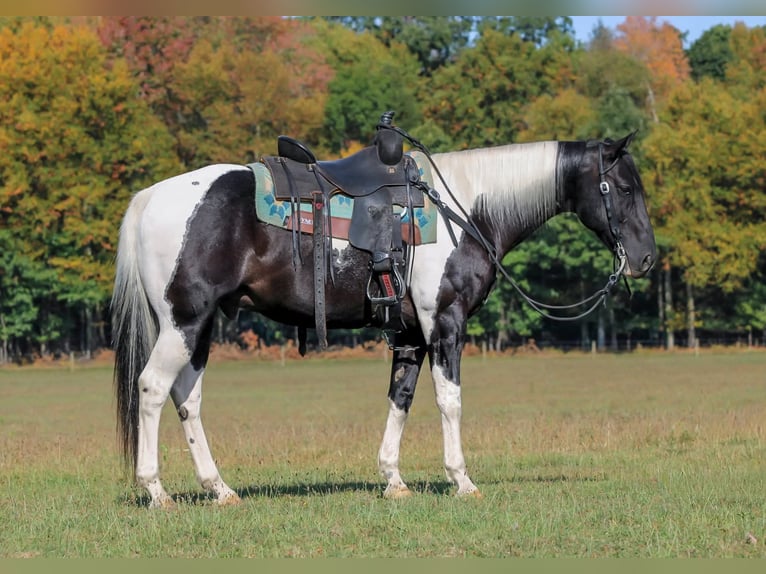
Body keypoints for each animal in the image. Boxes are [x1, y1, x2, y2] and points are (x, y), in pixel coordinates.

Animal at [111, 131, 656, 508]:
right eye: (622, 187)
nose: (646, 259)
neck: (465, 208)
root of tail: (152, 197)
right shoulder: (445, 323)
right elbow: (449, 401)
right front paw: (462, 479)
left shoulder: (411, 333)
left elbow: (401, 398)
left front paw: (393, 479)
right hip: (183, 322)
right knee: (153, 389)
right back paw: (156, 491)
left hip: (199, 328)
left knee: (188, 398)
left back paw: (219, 488)